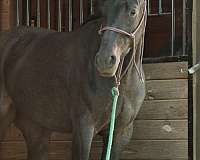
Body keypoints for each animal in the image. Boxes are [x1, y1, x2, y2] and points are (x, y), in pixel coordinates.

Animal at [0, 0, 147, 159]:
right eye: (103, 11)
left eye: (133, 12)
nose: (104, 60)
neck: (122, 82)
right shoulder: (83, 129)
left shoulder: (120, 132)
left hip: (35, 128)